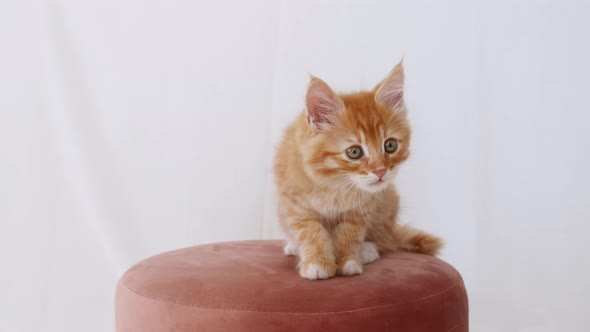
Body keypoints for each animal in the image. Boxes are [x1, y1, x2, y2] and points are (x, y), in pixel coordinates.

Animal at [274, 61, 444, 280]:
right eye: (354, 152)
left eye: (390, 145)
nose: (380, 171)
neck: (335, 185)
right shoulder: (296, 204)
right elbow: (311, 233)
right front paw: (317, 263)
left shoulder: (361, 208)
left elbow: (350, 235)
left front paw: (349, 262)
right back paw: (294, 247)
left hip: (389, 201)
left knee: (385, 240)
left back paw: (367, 250)